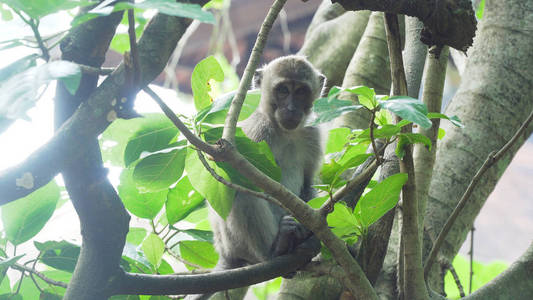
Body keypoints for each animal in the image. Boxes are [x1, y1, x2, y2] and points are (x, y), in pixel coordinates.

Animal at [187, 55, 324, 298]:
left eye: (301, 92)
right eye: (283, 90)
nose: (291, 109)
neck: (284, 131)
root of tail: (224, 253)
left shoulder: (311, 134)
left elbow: (308, 184)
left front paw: (309, 227)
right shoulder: (255, 132)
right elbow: (231, 182)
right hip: (234, 242)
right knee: (244, 194)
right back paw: (275, 249)